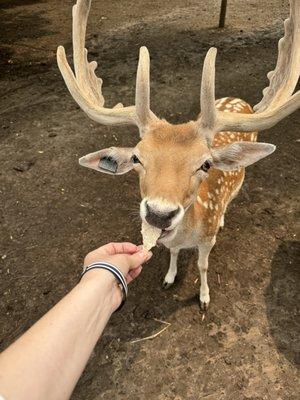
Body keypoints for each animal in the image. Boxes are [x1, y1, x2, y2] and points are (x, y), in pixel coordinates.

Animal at [57, 0, 298, 310]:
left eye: (206, 164)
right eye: (137, 158)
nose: (159, 214)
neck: (191, 233)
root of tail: (239, 100)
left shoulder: (207, 240)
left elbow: (203, 266)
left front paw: (204, 298)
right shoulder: (170, 242)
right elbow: (172, 254)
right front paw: (169, 278)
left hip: (240, 178)